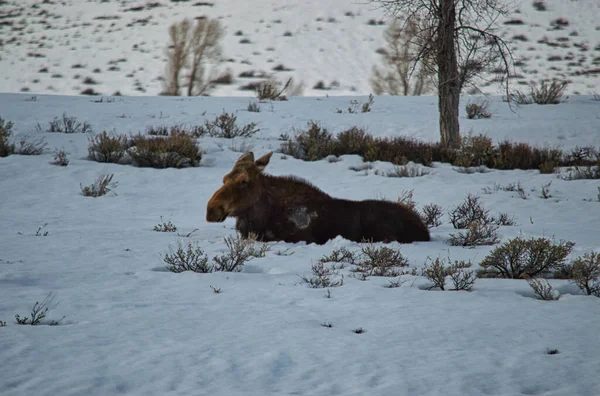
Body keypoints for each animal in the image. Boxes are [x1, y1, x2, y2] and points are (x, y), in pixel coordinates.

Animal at [207, 152, 432, 244]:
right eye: (224, 178)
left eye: (243, 181)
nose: (211, 209)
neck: (261, 216)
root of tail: (425, 230)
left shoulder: (303, 238)